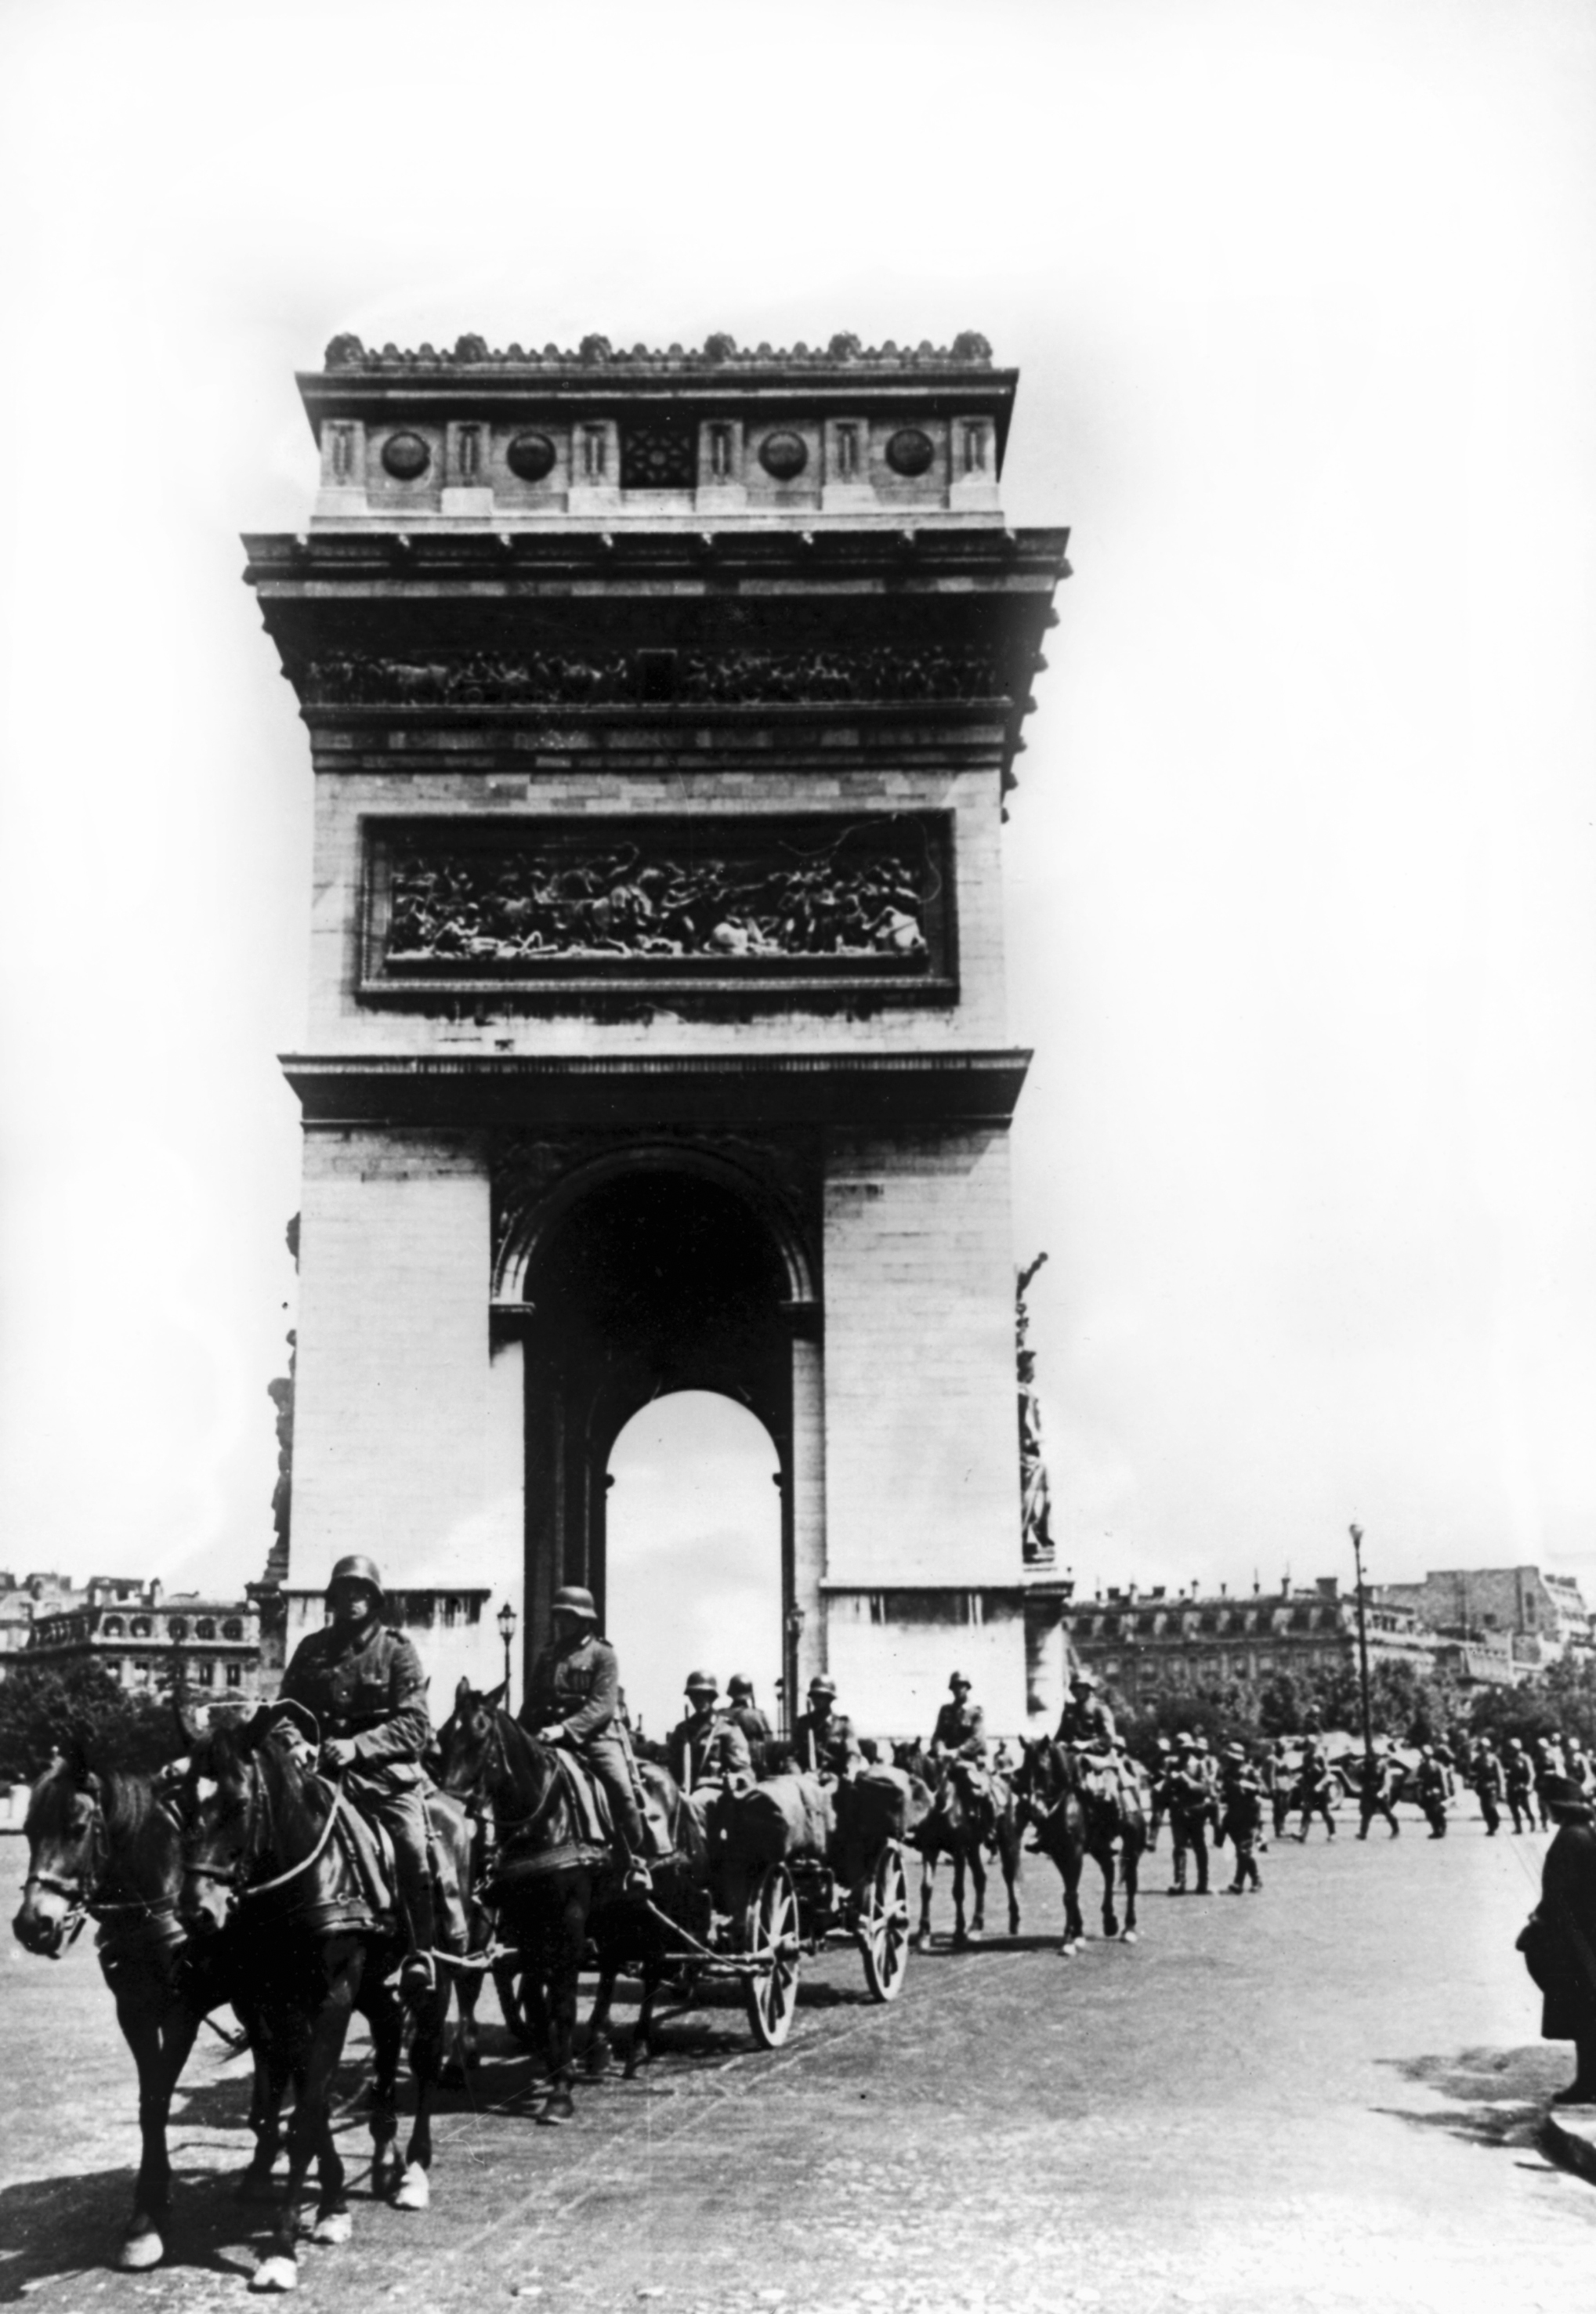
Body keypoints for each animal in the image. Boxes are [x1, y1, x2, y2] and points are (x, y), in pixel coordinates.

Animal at [10, 1758, 276, 2267]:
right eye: (29, 1831)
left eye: (77, 1828)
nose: (33, 1924)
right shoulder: (132, 2011)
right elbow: (146, 2104)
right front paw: (148, 2209)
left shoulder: (182, 2014)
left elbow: (157, 2102)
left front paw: (148, 2217)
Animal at [183, 1722, 451, 2295]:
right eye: (181, 1800)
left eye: (240, 1804)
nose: (197, 1911)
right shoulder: (282, 2001)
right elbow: (314, 2099)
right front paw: (332, 2202)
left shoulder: (334, 1994)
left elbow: (305, 2115)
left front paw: (282, 2248)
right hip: (375, 1986)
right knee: (388, 2035)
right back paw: (384, 2156)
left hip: (443, 1971)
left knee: (424, 2057)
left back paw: (414, 2170)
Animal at [428, 1684, 703, 2119]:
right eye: (441, 1735)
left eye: (481, 1734)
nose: (454, 1811)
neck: (542, 1819)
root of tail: (673, 1785)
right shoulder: (523, 1923)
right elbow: (533, 1998)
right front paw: (555, 2063)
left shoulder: (569, 1921)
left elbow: (562, 2001)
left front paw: (560, 2093)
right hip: (611, 1910)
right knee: (610, 1963)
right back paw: (597, 2047)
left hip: (656, 1901)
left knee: (654, 1964)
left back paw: (637, 2049)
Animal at [897, 1740, 1017, 1943]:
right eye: (893, 1765)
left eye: (910, 1769)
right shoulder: (930, 1850)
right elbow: (926, 1888)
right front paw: (923, 1933)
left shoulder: (959, 1851)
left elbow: (958, 1891)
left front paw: (959, 1931)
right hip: (973, 1849)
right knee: (980, 1878)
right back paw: (976, 1926)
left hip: (1005, 1839)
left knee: (1008, 1875)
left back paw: (1014, 1921)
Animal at [1013, 1740, 1138, 1953]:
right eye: (1024, 1770)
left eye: (1043, 1769)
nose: (1035, 1810)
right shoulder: (1059, 1855)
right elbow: (1071, 1892)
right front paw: (1077, 1934)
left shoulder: (1075, 1853)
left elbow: (1070, 1895)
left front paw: (1068, 1941)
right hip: (1099, 1847)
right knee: (1109, 1870)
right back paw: (1110, 1921)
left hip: (1133, 1843)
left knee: (1130, 1881)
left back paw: (1129, 1929)